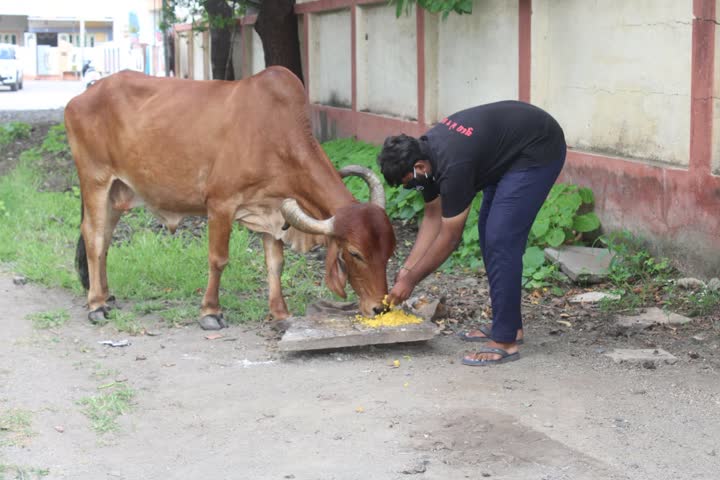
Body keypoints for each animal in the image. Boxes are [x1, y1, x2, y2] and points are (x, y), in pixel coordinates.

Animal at [64, 67, 396, 330]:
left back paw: (107, 295)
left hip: (118, 191)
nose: (380, 307)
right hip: (95, 181)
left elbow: (275, 264)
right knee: (94, 238)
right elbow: (218, 259)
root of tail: (84, 95)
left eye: (389, 251)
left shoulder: (272, 211)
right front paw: (210, 312)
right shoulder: (220, 204)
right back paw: (96, 305)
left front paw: (280, 314)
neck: (275, 135)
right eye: (354, 253)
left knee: (106, 239)